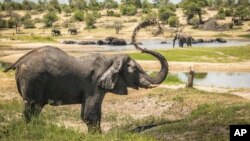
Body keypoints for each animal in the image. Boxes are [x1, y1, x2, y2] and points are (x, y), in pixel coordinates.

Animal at [2, 19, 168, 133]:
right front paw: (99, 136)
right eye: (136, 70)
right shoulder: (94, 83)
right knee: (32, 108)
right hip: (33, 79)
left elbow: (91, 113)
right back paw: (33, 130)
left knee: (33, 109)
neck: (112, 58)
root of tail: (19, 61)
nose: (153, 25)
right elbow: (90, 114)